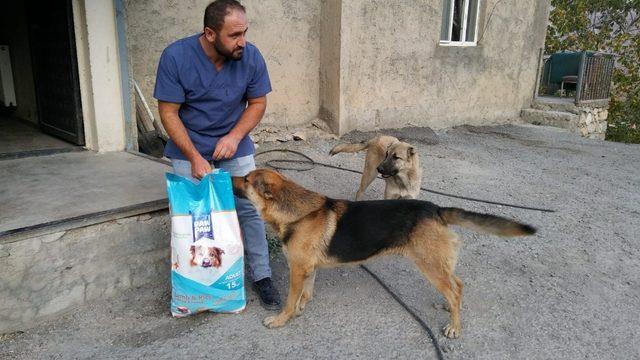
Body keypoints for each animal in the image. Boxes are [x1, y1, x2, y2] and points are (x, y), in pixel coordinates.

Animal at [231, 169, 536, 338]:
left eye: (245, 180)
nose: (224, 172)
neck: (296, 211)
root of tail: (435, 209)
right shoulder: (307, 269)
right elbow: (306, 292)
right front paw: (300, 308)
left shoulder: (297, 269)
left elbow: (291, 299)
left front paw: (281, 319)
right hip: (438, 265)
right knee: (457, 286)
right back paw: (449, 308)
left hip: (429, 265)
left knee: (455, 289)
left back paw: (454, 327)